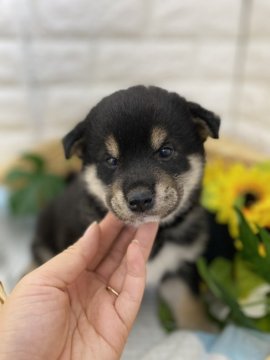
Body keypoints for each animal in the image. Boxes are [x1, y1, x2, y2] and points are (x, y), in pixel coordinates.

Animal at [32, 86, 220, 330]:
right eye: (111, 160)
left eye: (165, 151)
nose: (139, 199)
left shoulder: (180, 265)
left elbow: (187, 302)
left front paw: (203, 330)